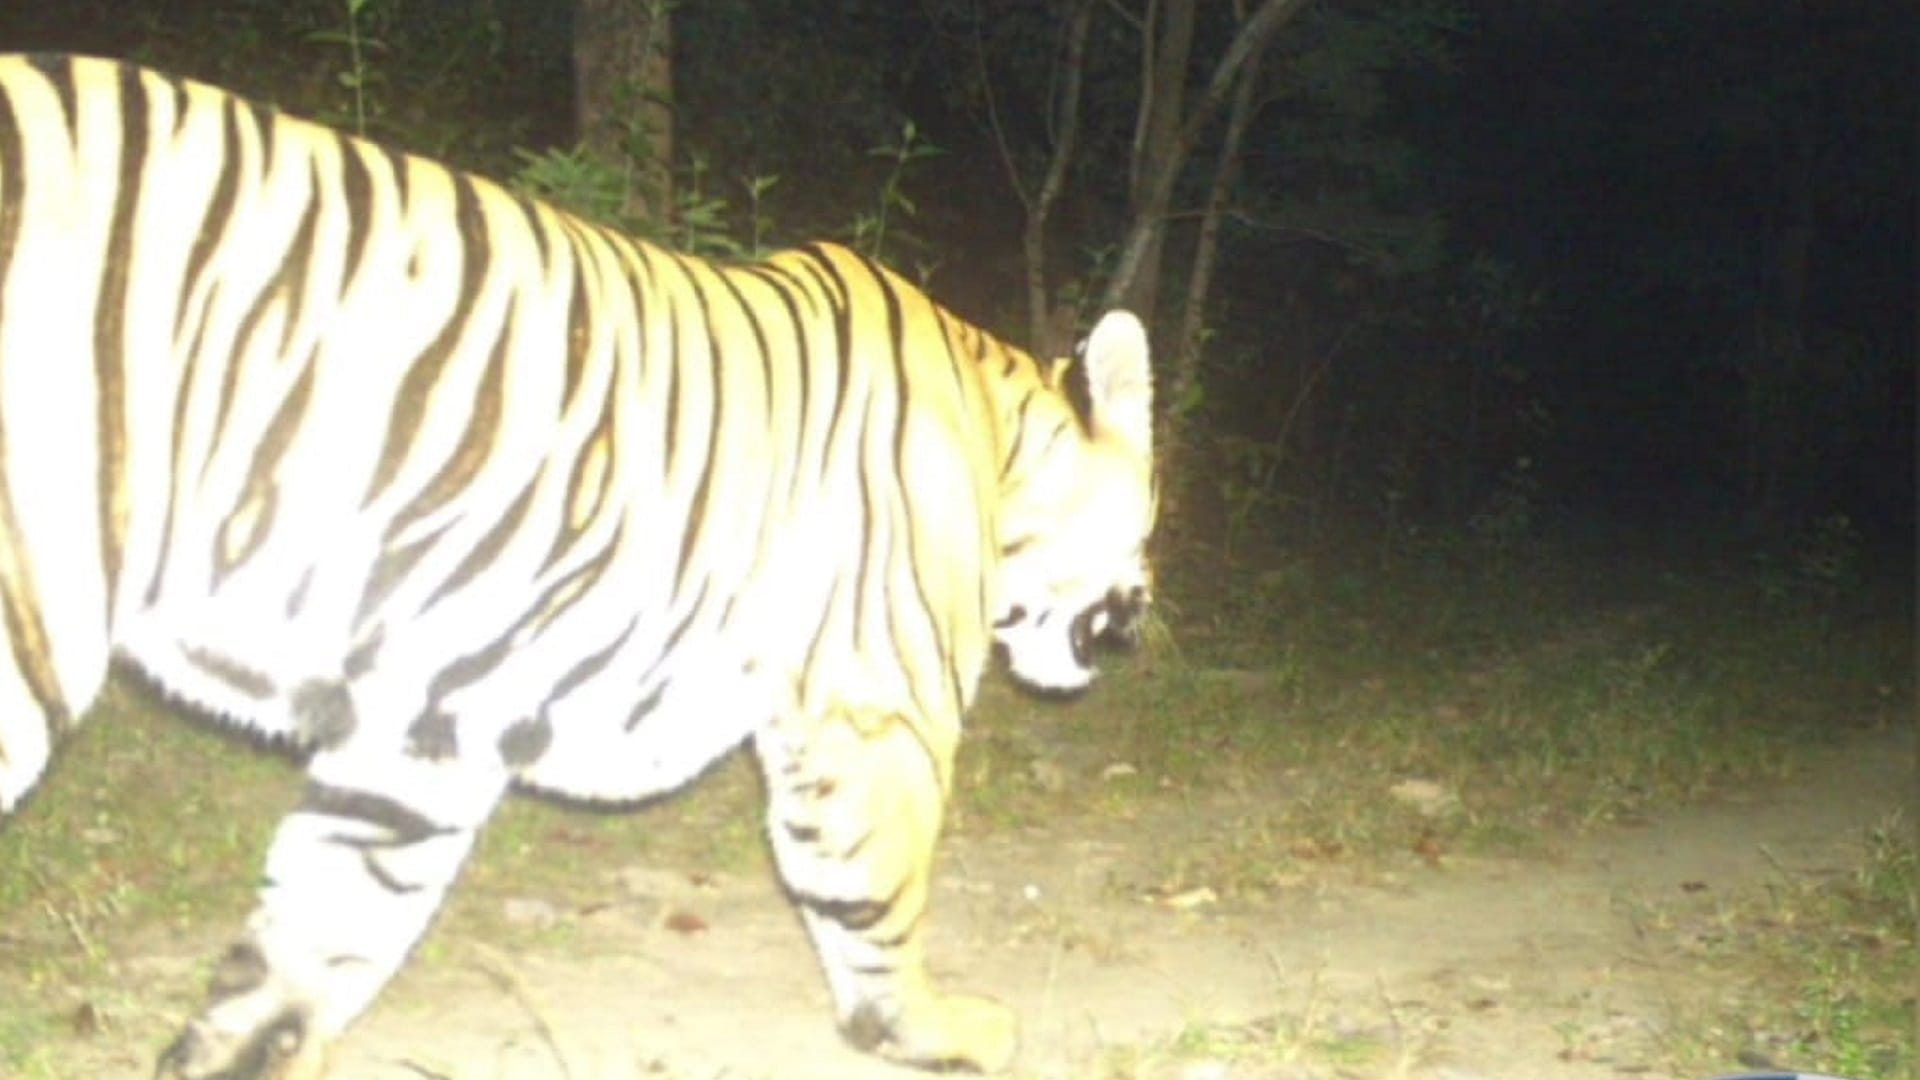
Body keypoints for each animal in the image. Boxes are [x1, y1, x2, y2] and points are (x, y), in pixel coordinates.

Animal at [0, 51, 1155, 1077]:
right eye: (1148, 520)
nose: (1145, 609)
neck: (997, 444)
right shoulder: (876, 709)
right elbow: (878, 891)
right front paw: (930, 1029)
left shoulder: (424, 730)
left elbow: (325, 924)